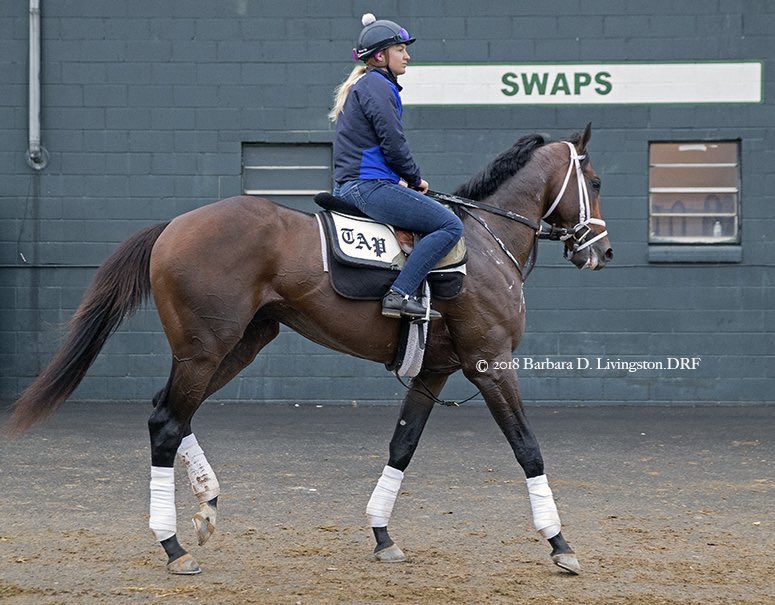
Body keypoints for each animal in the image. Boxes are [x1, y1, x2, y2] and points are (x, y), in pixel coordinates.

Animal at [6, 123, 612, 576]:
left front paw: (382, 534)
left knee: (169, 413)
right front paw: (559, 543)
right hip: (206, 351)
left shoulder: (433, 372)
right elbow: (527, 448)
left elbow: (402, 447)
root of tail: (175, 225)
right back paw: (172, 545)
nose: (601, 251)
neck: (485, 244)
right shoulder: (491, 365)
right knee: (165, 423)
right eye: (596, 179)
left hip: (236, 348)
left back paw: (205, 505)